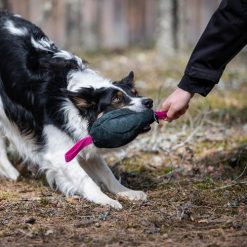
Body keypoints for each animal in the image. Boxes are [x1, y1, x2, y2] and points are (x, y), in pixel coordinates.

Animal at [0, 11, 153, 208]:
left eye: (134, 93)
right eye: (117, 99)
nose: (149, 102)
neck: (74, 102)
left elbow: (106, 172)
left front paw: (126, 192)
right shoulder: (58, 153)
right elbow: (85, 179)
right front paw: (106, 200)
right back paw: (12, 173)